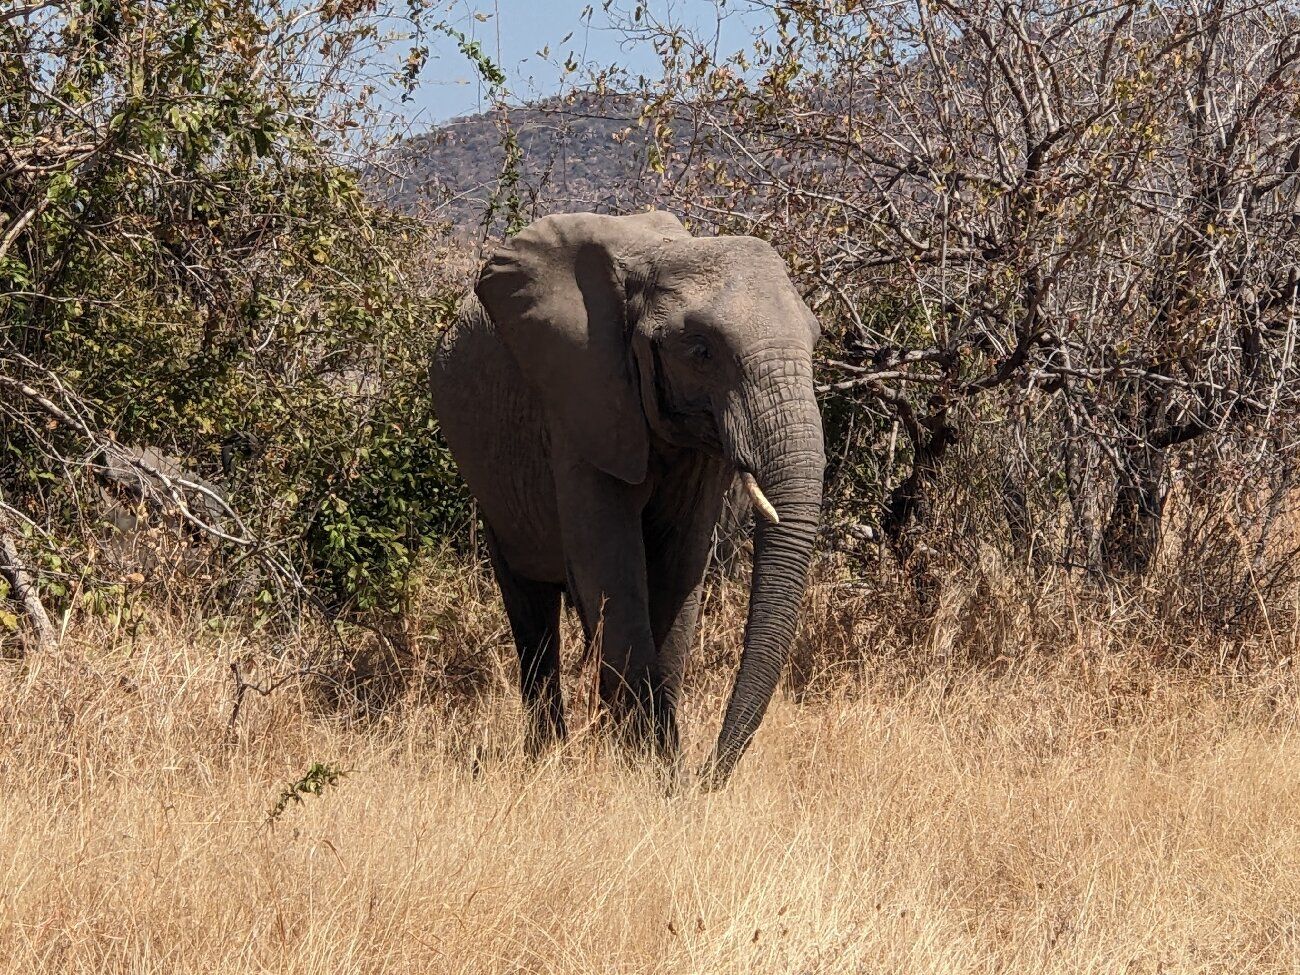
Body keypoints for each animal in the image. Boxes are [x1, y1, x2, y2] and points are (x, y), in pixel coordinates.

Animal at [430, 210, 825, 787]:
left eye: (816, 339)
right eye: (700, 351)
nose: (706, 775)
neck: (659, 259)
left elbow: (678, 571)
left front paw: (655, 767)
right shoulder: (580, 401)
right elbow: (612, 571)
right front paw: (655, 773)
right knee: (531, 609)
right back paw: (549, 758)